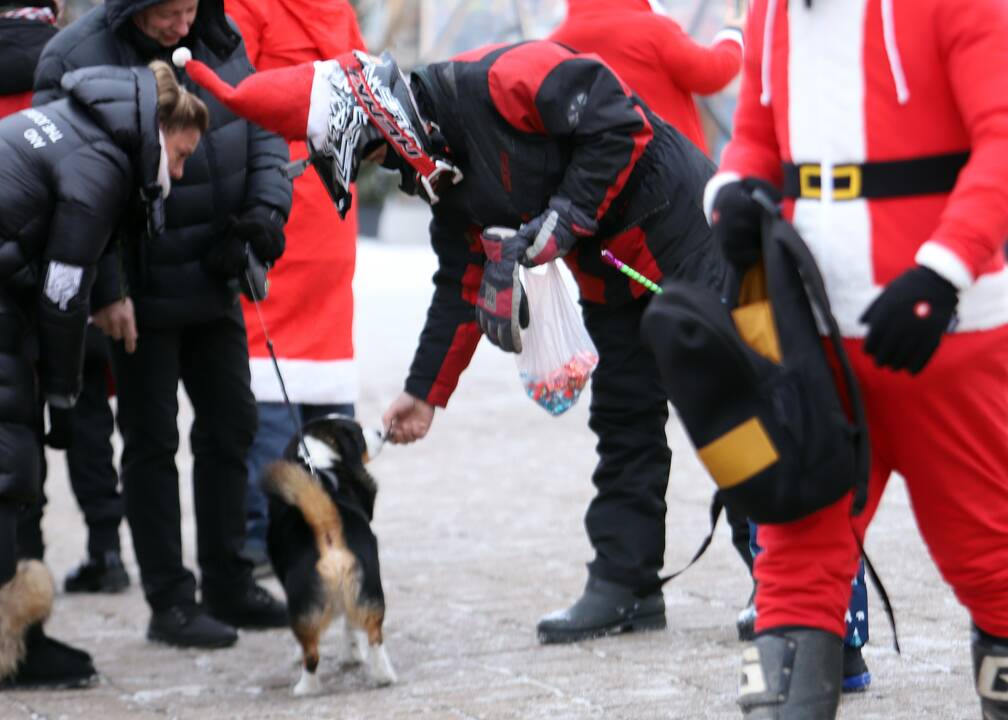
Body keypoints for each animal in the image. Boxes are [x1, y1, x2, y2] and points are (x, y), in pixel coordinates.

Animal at [262, 411, 395, 693]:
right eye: (359, 433)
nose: (381, 433)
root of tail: (327, 525)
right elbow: (350, 626)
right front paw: (352, 654)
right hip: (370, 591)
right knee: (374, 635)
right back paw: (383, 676)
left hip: (301, 608)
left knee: (311, 653)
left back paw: (305, 688)